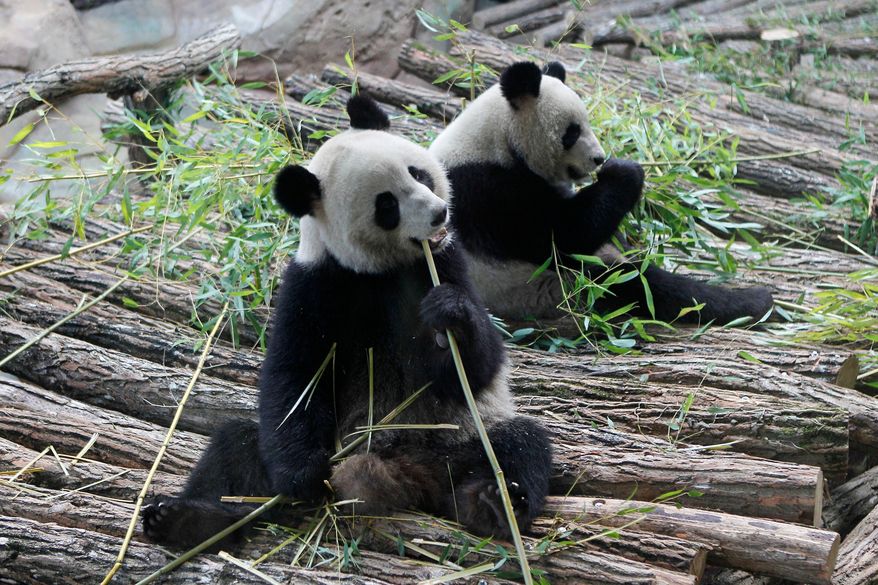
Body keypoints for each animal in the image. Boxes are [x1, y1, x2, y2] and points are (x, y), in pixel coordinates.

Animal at [141, 95, 552, 550]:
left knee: (519, 445)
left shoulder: (446, 262)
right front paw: (304, 479)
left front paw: (451, 315)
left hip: (461, 438)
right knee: (235, 446)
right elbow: (295, 377)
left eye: (418, 173)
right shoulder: (315, 285)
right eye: (387, 205)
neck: (379, 271)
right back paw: (186, 519)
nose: (439, 213)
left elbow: (475, 368)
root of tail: (408, 476)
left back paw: (492, 503)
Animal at [429, 61, 774, 326]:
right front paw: (625, 171)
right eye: (572, 132)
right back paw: (752, 302)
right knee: (636, 285)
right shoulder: (490, 191)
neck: (497, 138)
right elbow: (562, 235)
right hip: (546, 288)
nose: (598, 158)